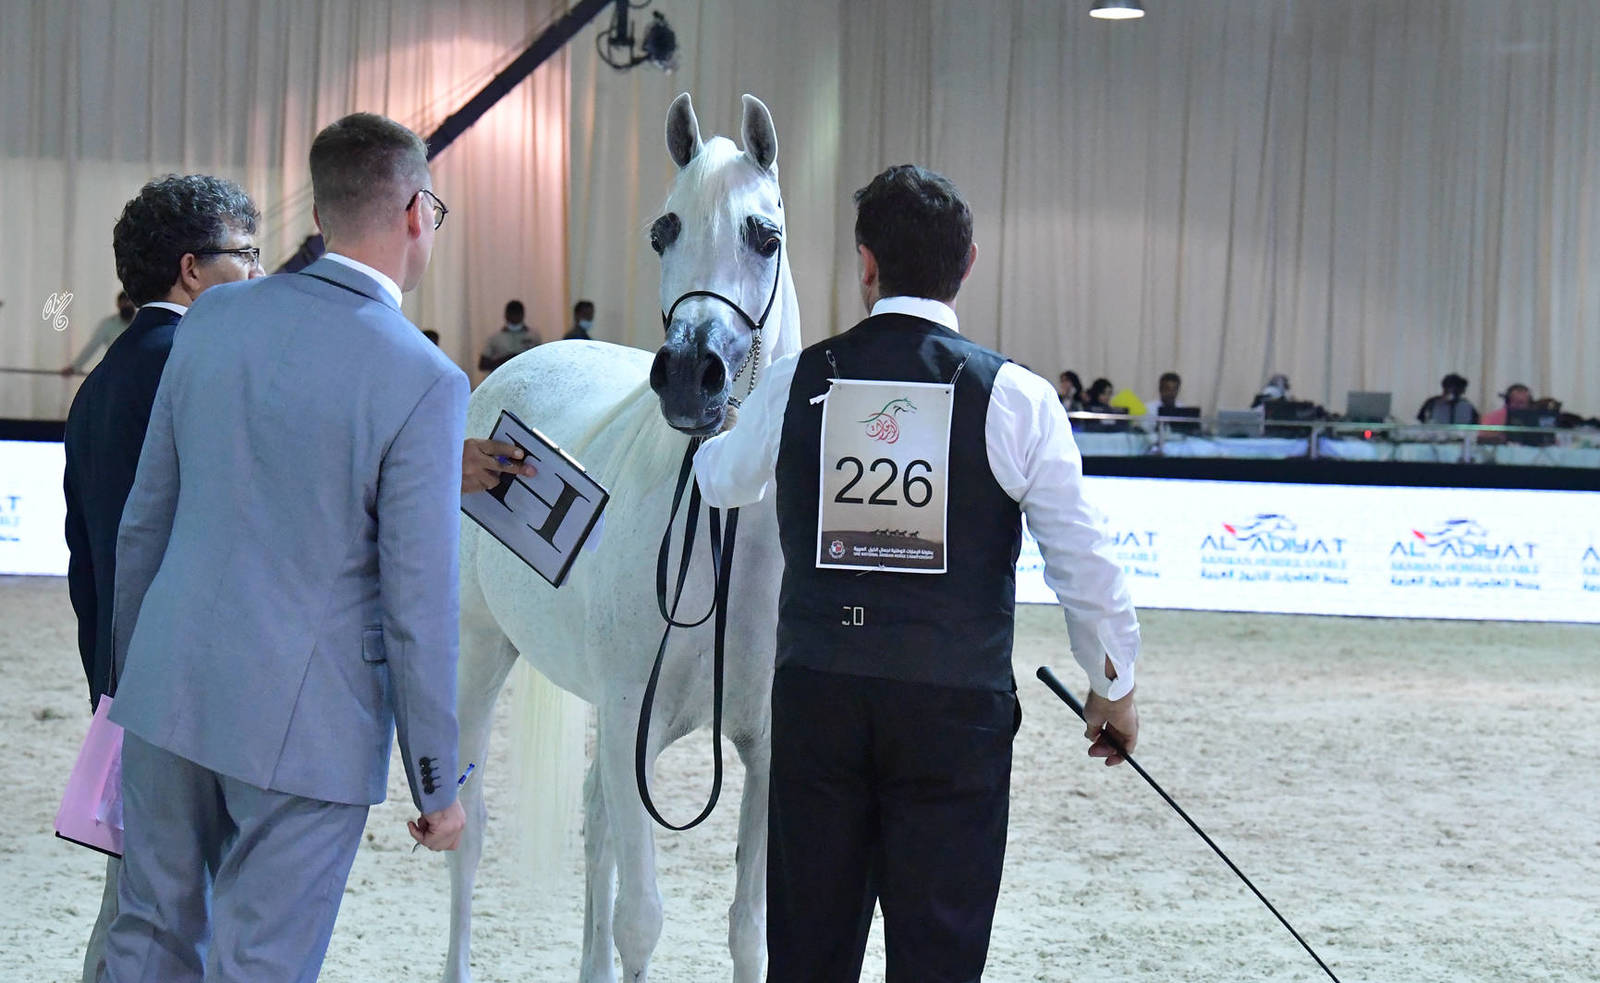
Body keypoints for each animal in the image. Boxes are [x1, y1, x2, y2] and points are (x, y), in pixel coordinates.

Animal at [443, 93, 798, 983]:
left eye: (764, 235)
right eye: (662, 230)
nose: (691, 374)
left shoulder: (770, 749)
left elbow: (750, 926)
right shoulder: (633, 724)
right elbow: (641, 922)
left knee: (593, 820)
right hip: (477, 654)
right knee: (467, 826)